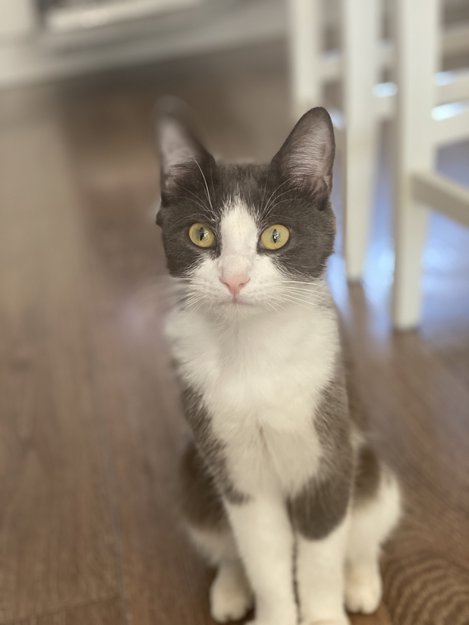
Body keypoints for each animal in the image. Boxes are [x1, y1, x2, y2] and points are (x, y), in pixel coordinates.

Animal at [156, 102, 401, 625]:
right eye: (201, 233)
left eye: (275, 236)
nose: (234, 278)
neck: (253, 351)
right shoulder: (234, 466)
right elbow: (262, 553)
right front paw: (273, 612)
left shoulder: (328, 447)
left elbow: (321, 554)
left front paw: (325, 612)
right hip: (193, 474)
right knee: (224, 542)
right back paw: (230, 589)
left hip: (369, 466)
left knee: (368, 521)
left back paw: (361, 579)